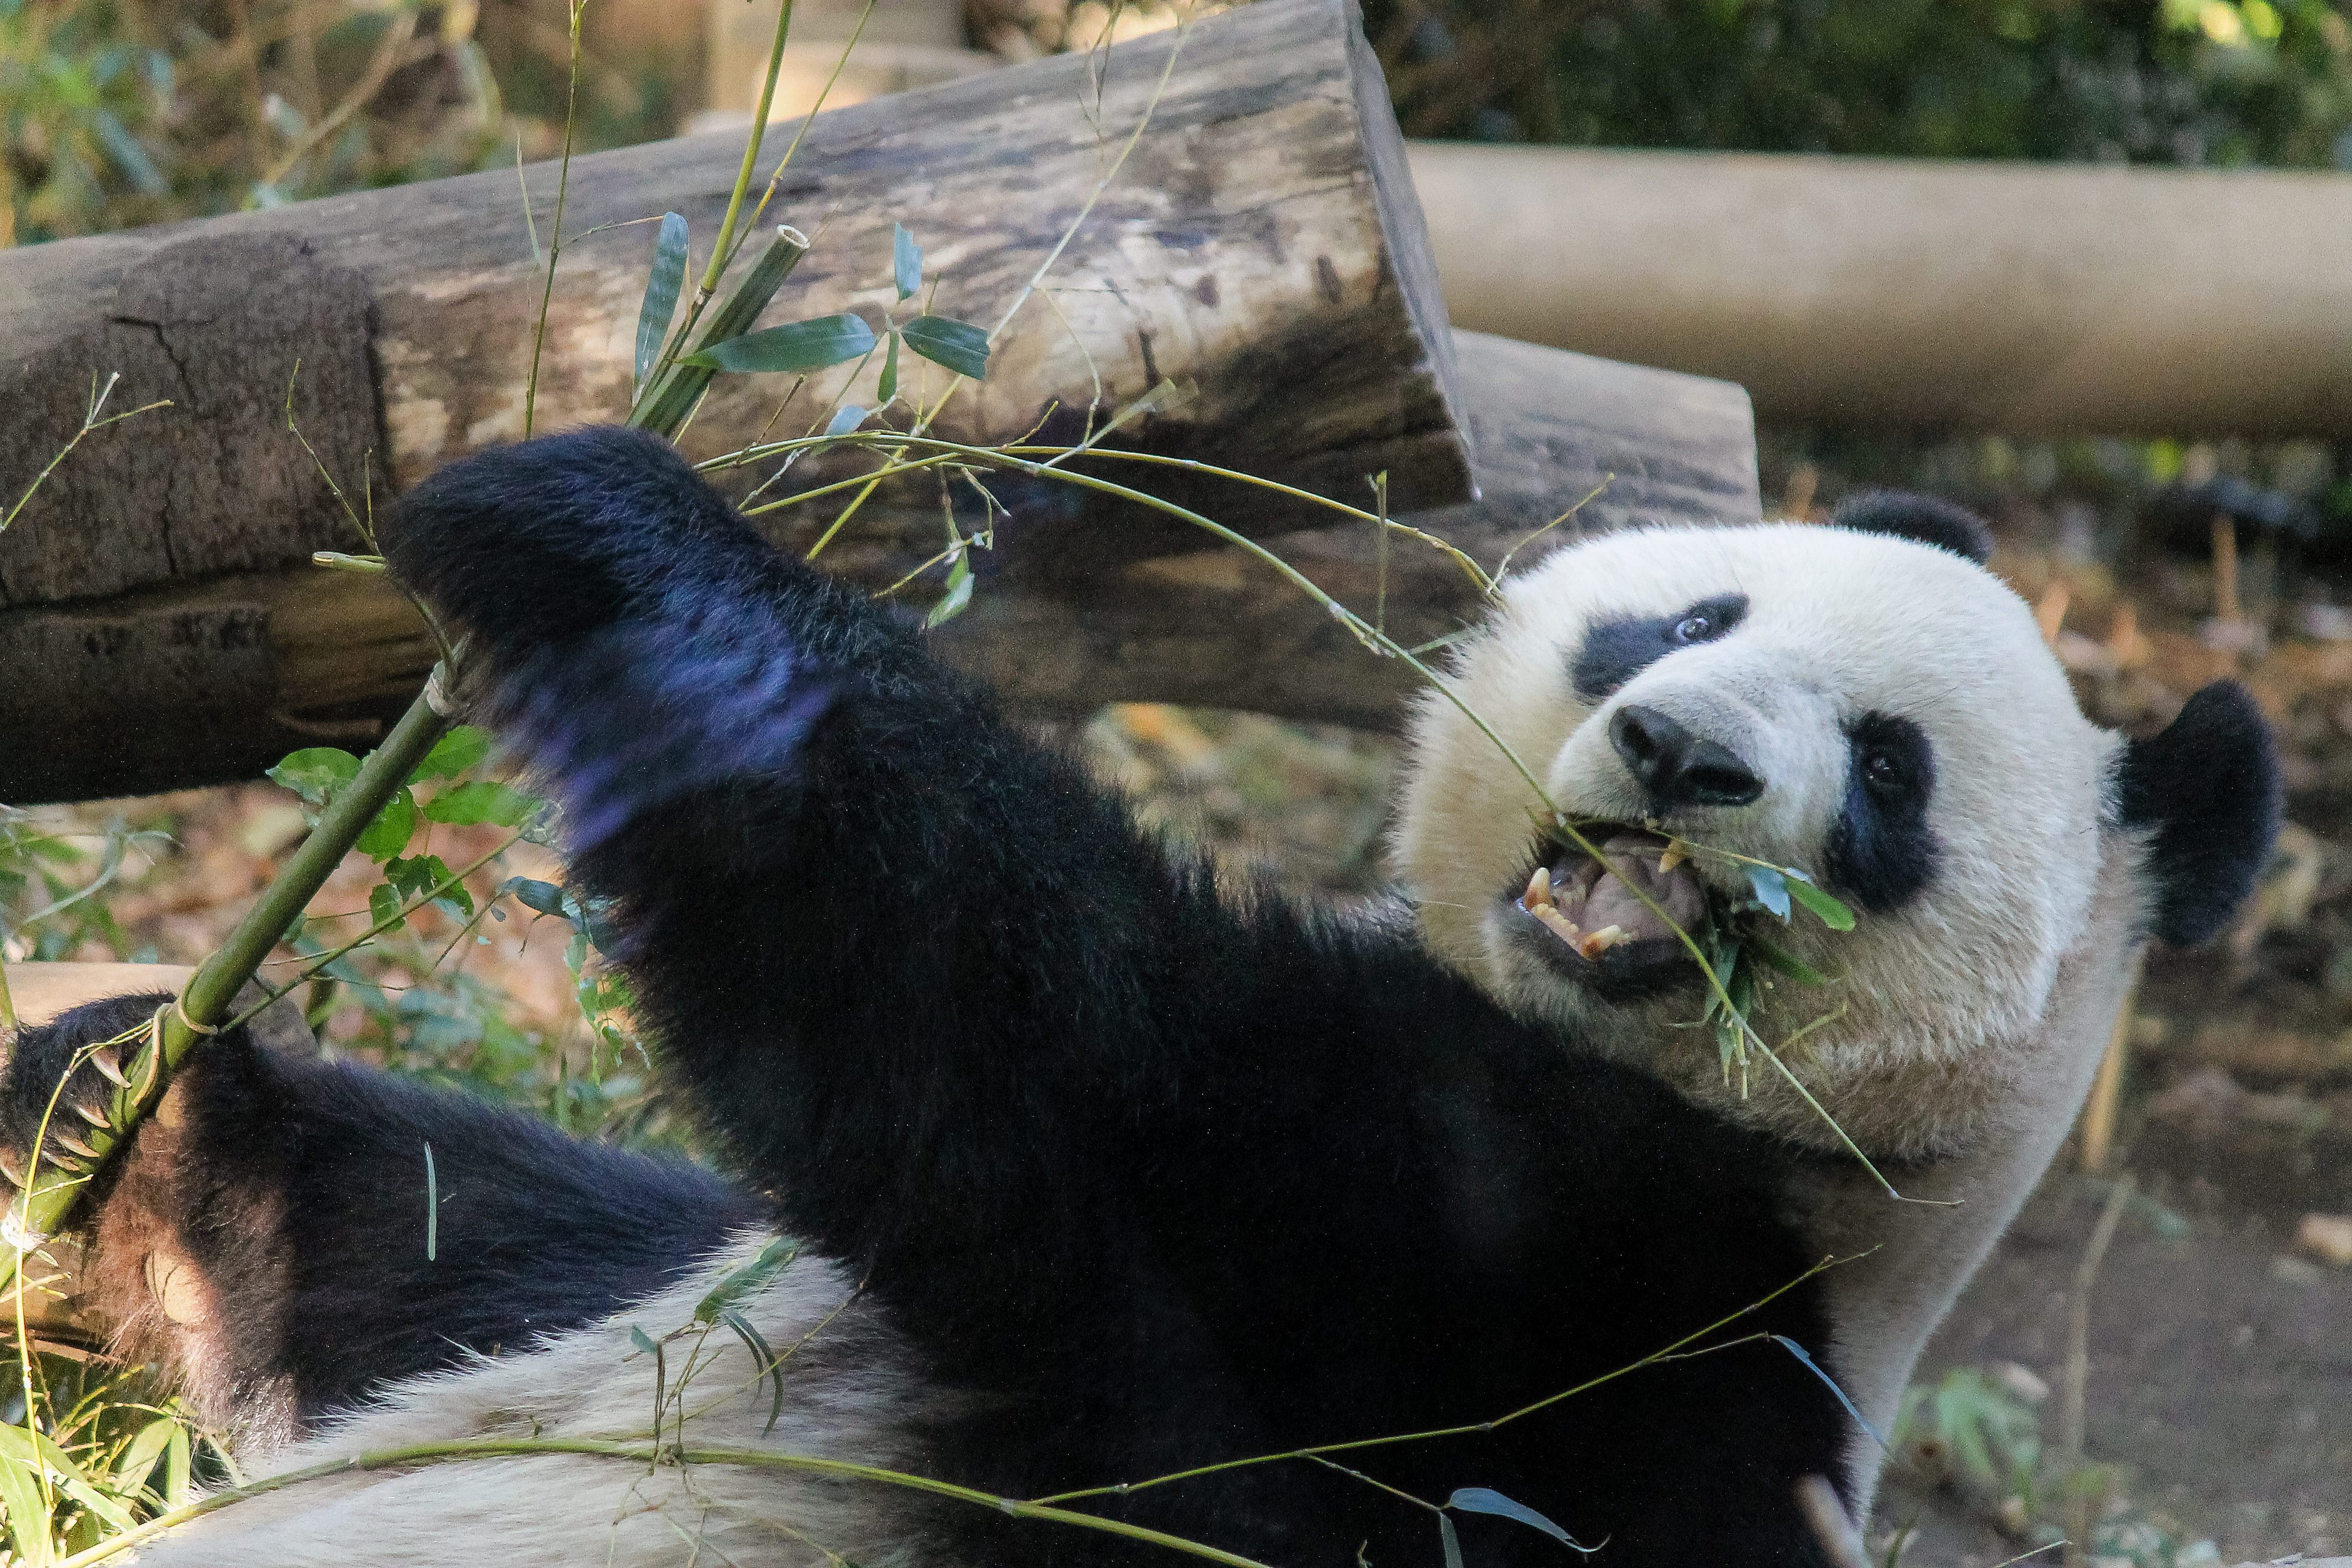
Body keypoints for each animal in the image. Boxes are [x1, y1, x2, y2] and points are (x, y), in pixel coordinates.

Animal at [0, 430, 2277, 1568]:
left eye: (1888, 770)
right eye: (1687, 611)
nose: (1681, 748)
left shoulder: (1564, 1290)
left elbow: (1036, 1058)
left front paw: (604, 520)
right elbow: (429, 1251)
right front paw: (112, 1119)